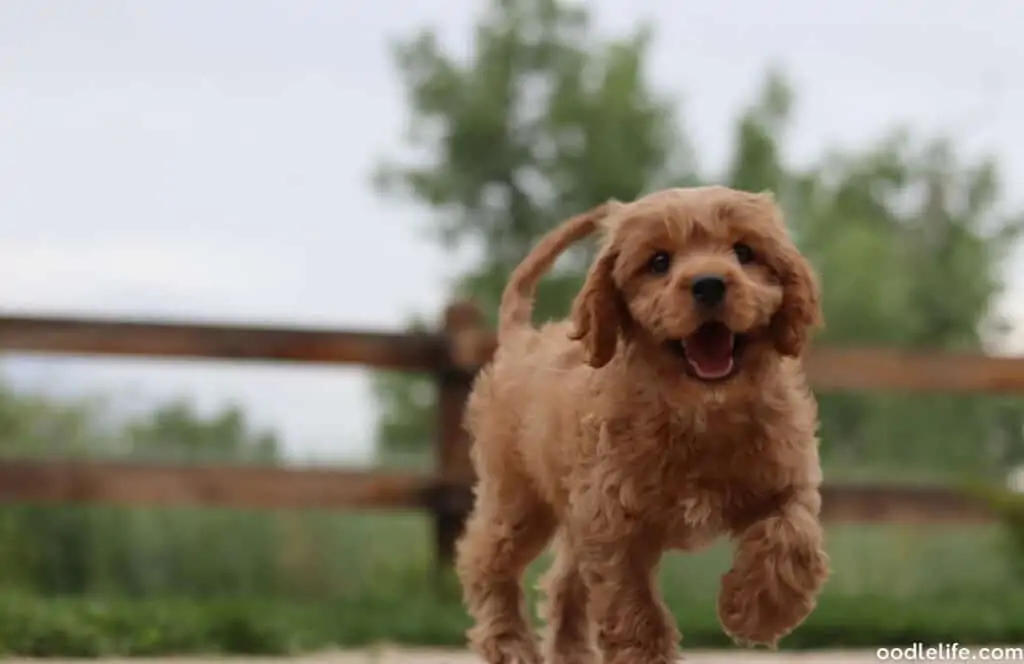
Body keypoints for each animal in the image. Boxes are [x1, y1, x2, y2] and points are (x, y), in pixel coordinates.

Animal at [456, 185, 831, 664]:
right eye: (658, 262)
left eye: (745, 252)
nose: (709, 284)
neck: (701, 410)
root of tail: (520, 337)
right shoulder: (614, 522)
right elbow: (633, 607)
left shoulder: (788, 481)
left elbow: (793, 538)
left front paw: (756, 612)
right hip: (517, 498)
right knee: (486, 561)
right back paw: (510, 645)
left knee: (563, 581)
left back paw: (571, 653)